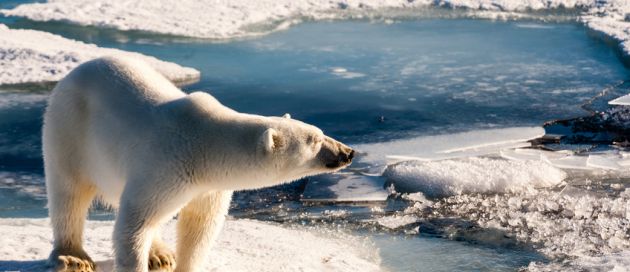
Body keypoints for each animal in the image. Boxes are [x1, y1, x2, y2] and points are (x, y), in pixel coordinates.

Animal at [43, 56, 356, 270]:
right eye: (314, 140)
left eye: (319, 132)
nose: (348, 152)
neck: (205, 145)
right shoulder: (165, 166)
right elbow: (135, 222)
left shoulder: (209, 186)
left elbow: (200, 225)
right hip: (70, 130)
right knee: (68, 194)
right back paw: (73, 257)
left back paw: (160, 254)